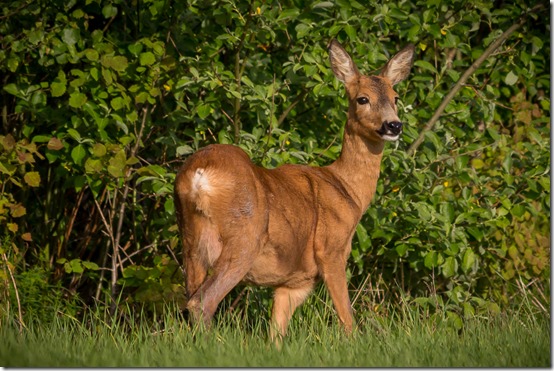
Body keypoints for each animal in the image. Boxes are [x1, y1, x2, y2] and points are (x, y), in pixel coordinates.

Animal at [175, 38, 412, 340]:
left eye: (396, 97)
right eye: (362, 99)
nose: (394, 125)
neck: (348, 190)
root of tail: (200, 174)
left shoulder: (294, 284)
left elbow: (276, 334)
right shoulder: (331, 249)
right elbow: (347, 318)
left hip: (190, 240)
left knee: (192, 296)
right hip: (243, 237)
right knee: (202, 302)